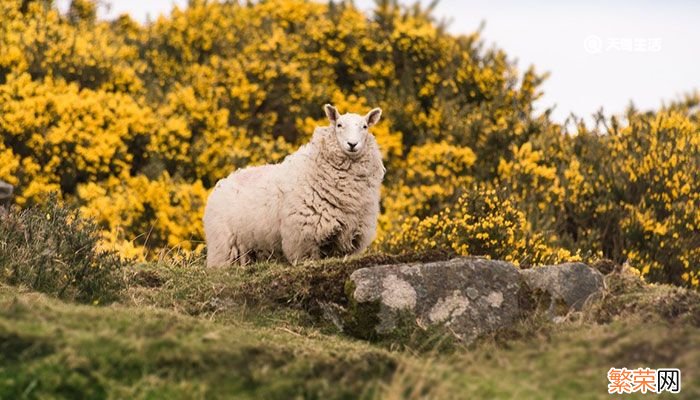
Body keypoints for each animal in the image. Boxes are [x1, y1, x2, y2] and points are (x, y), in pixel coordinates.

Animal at [204, 104, 382, 266]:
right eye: (339, 125)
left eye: (365, 126)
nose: (352, 144)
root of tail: (223, 181)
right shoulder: (303, 236)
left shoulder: (349, 236)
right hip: (224, 246)